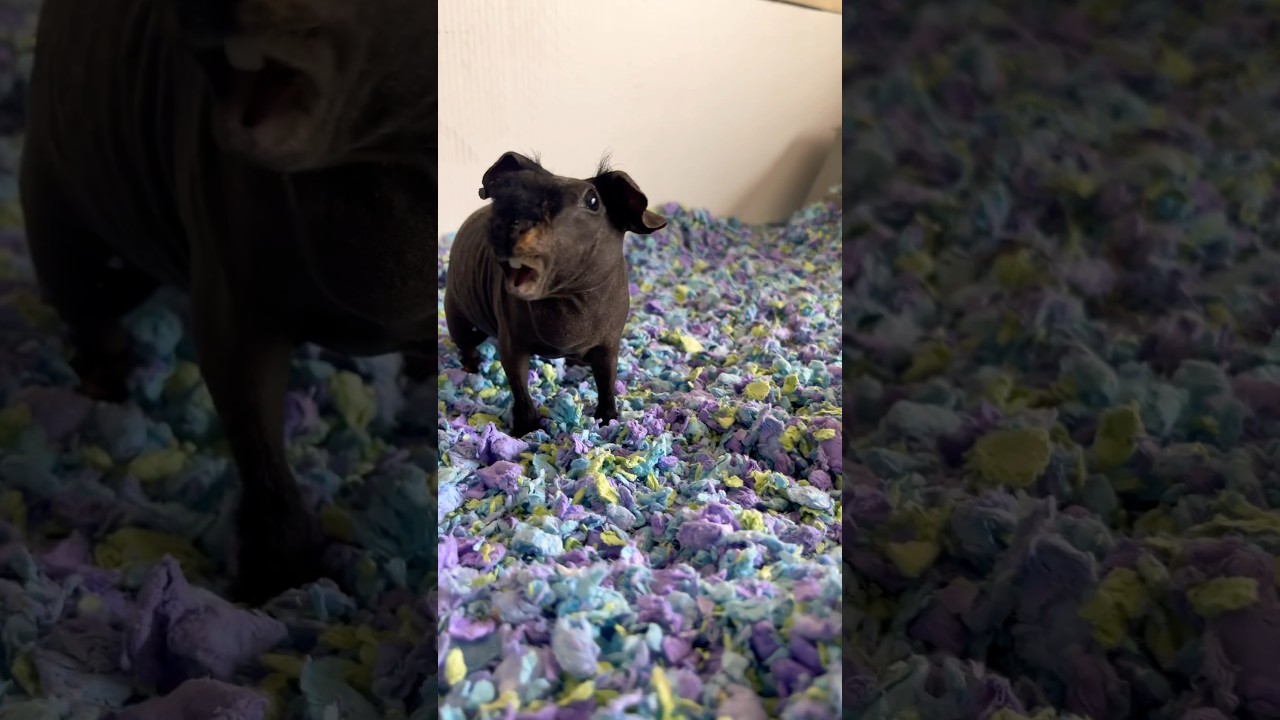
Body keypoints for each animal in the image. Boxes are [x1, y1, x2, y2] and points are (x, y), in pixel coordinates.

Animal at [20, 0, 436, 603]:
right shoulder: (233, 303)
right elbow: (261, 452)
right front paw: (280, 579)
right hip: (67, 219)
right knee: (90, 308)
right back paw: (103, 381)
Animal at [444, 152, 666, 437]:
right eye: (506, 189)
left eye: (593, 201)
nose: (507, 221)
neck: (569, 300)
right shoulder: (511, 345)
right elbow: (521, 392)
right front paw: (524, 430)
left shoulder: (609, 345)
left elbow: (607, 384)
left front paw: (608, 421)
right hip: (457, 316)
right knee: (466, 346)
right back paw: (471, 369)